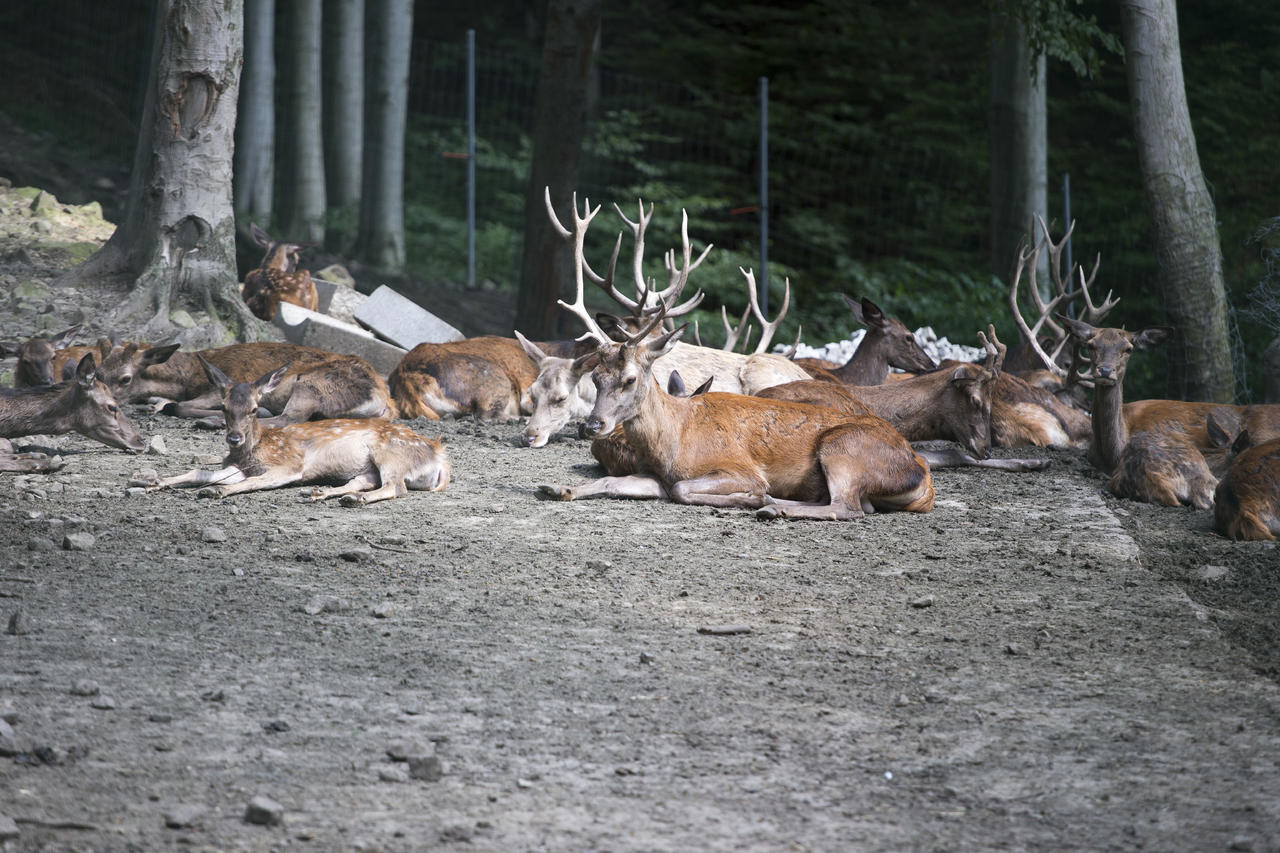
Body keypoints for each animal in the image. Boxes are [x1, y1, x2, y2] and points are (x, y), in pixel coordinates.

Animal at [96, 338, 389, 425]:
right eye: (98, 374)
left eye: (125, 378)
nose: (106, 405)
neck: (188, 378)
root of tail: (384, 401)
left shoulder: (223, 385)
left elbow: (177, 405)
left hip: (313, 385)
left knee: (289, 418)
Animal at [147, 356, 450, 502]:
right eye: (224, 407)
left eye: (254, 409)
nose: (234, 438)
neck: (252, 452)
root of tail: (439, 460)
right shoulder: (237, 465)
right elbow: (200, 473)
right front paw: (152, 481)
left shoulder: (289, 465)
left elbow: (252, 482)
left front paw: (216, 491)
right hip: (369, 468)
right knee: (364, 482)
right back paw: (322, 494)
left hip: (391, 454)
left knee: (396, 487)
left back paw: (353, 499)